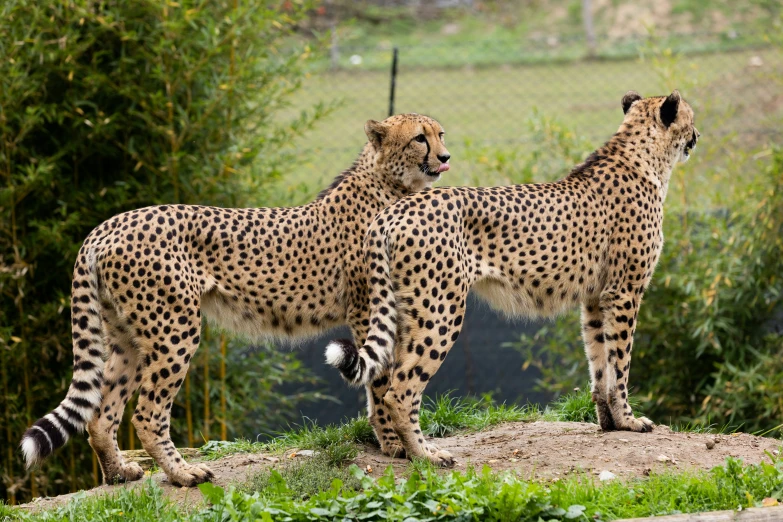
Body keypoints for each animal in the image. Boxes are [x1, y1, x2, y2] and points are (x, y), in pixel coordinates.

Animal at [19, 111, 454, 486]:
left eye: (440, 134)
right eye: (420, 138)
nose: (446, 156)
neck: (390, 184)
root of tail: (108, 224)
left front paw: (393, 441)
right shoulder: (368, 308)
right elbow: (381, 377)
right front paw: (396, 445)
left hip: (126, 337)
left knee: (100, 413)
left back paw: (118, 472)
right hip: (174, 330)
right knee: (147, 413)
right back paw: (183, 474)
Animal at [328, 89, 700, 464]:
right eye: (692, 119)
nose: (697, 136)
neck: (643, 157)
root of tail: (393, 211)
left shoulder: (595, 299)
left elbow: (599, 362)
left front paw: (608, 422)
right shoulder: (624, 293)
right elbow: (620, 362)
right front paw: (629, 420)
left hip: (405, 310)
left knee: (388, 378)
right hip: (440, 310)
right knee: (400, 390)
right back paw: (425, 455)